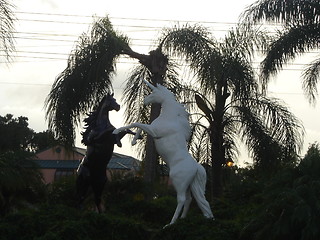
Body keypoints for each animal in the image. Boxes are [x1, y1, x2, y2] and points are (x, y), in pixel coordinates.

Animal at [114, 81, 214, 226]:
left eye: (154, 92)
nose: (145, 101)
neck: (170, 118)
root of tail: (196, 167)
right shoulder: (152, 130)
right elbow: (140, 126)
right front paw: (134, 140)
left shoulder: (154, 131)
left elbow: (137, 123)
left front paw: (117, 131)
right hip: (189, 185)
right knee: (190, 199)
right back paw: (182, 220)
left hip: (179, 182)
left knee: (182, 199)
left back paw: (170, 224)